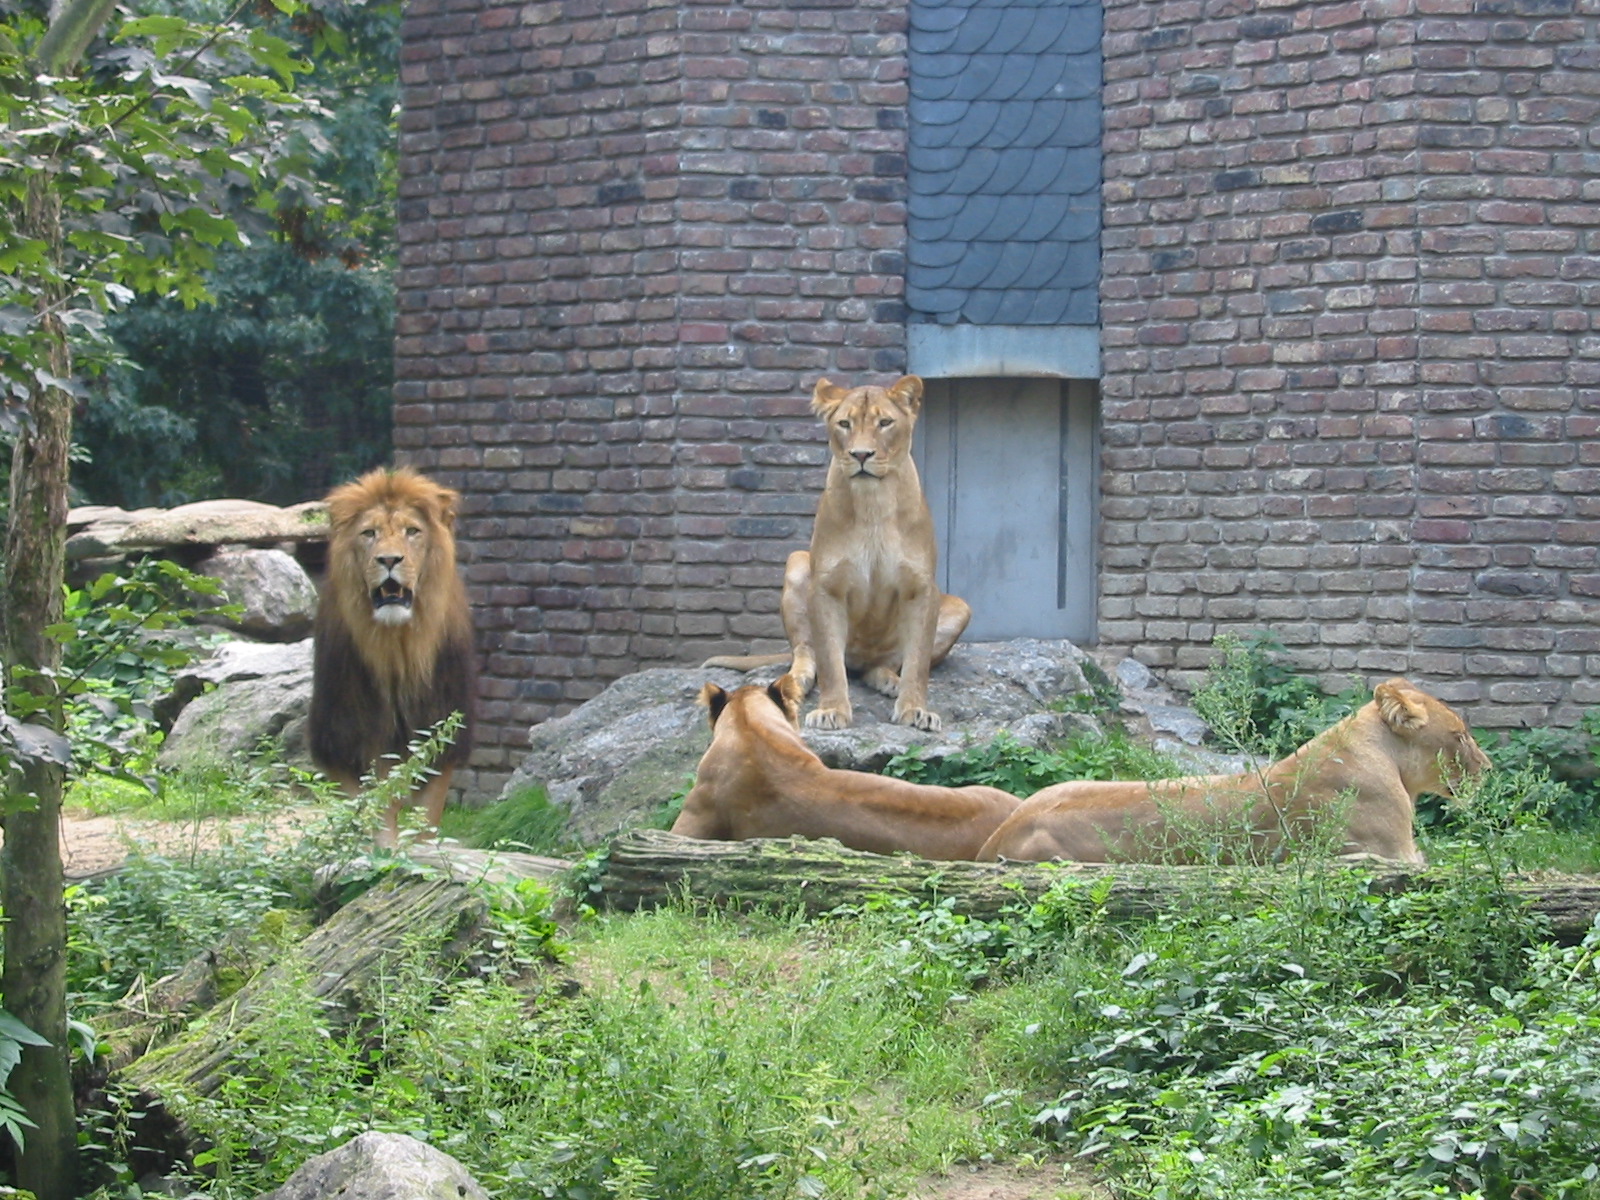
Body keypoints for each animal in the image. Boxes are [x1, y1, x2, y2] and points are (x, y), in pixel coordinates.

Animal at [309, 466, 476, 846]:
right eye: (368, 533)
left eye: (412, 532)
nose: (388, 560)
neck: (396, 650)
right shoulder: (349, 742)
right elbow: (377, 815)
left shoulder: (439, 740)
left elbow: (425, 822)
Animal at [704, 375, 970, 732]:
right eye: (845, 424)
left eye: (885, 423)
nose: (861, 454)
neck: (873, 503)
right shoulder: (826, 586)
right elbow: (830, 661)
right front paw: (831, 710)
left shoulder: (921, 588)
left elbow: (917, 663)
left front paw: (915, 710)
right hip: (797, 563)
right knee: (807, 652)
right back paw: (796, 681)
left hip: (959, 607)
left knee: (881, 665)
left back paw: (889, 681)